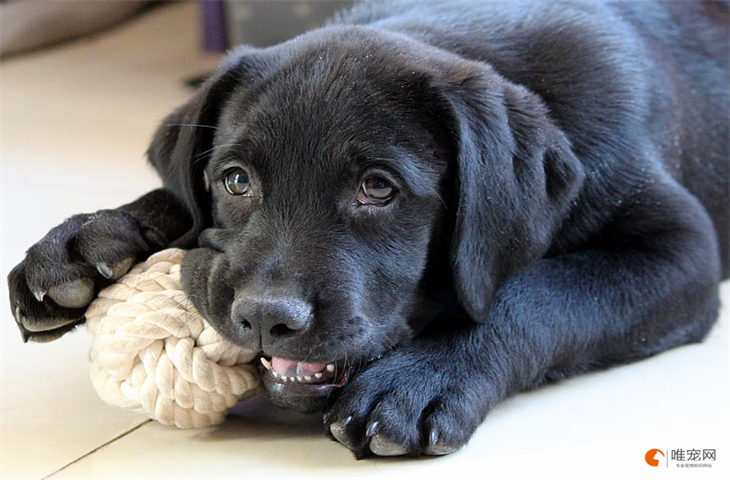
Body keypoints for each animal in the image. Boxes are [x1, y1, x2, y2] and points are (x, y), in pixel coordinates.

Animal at [7, 0, 728, 458]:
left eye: (378, 188)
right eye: (235, 180)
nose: (266, 318)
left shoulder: (680, 250)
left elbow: (536, 293)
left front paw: (424, 378)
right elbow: (178, 204)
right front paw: (89, 240)